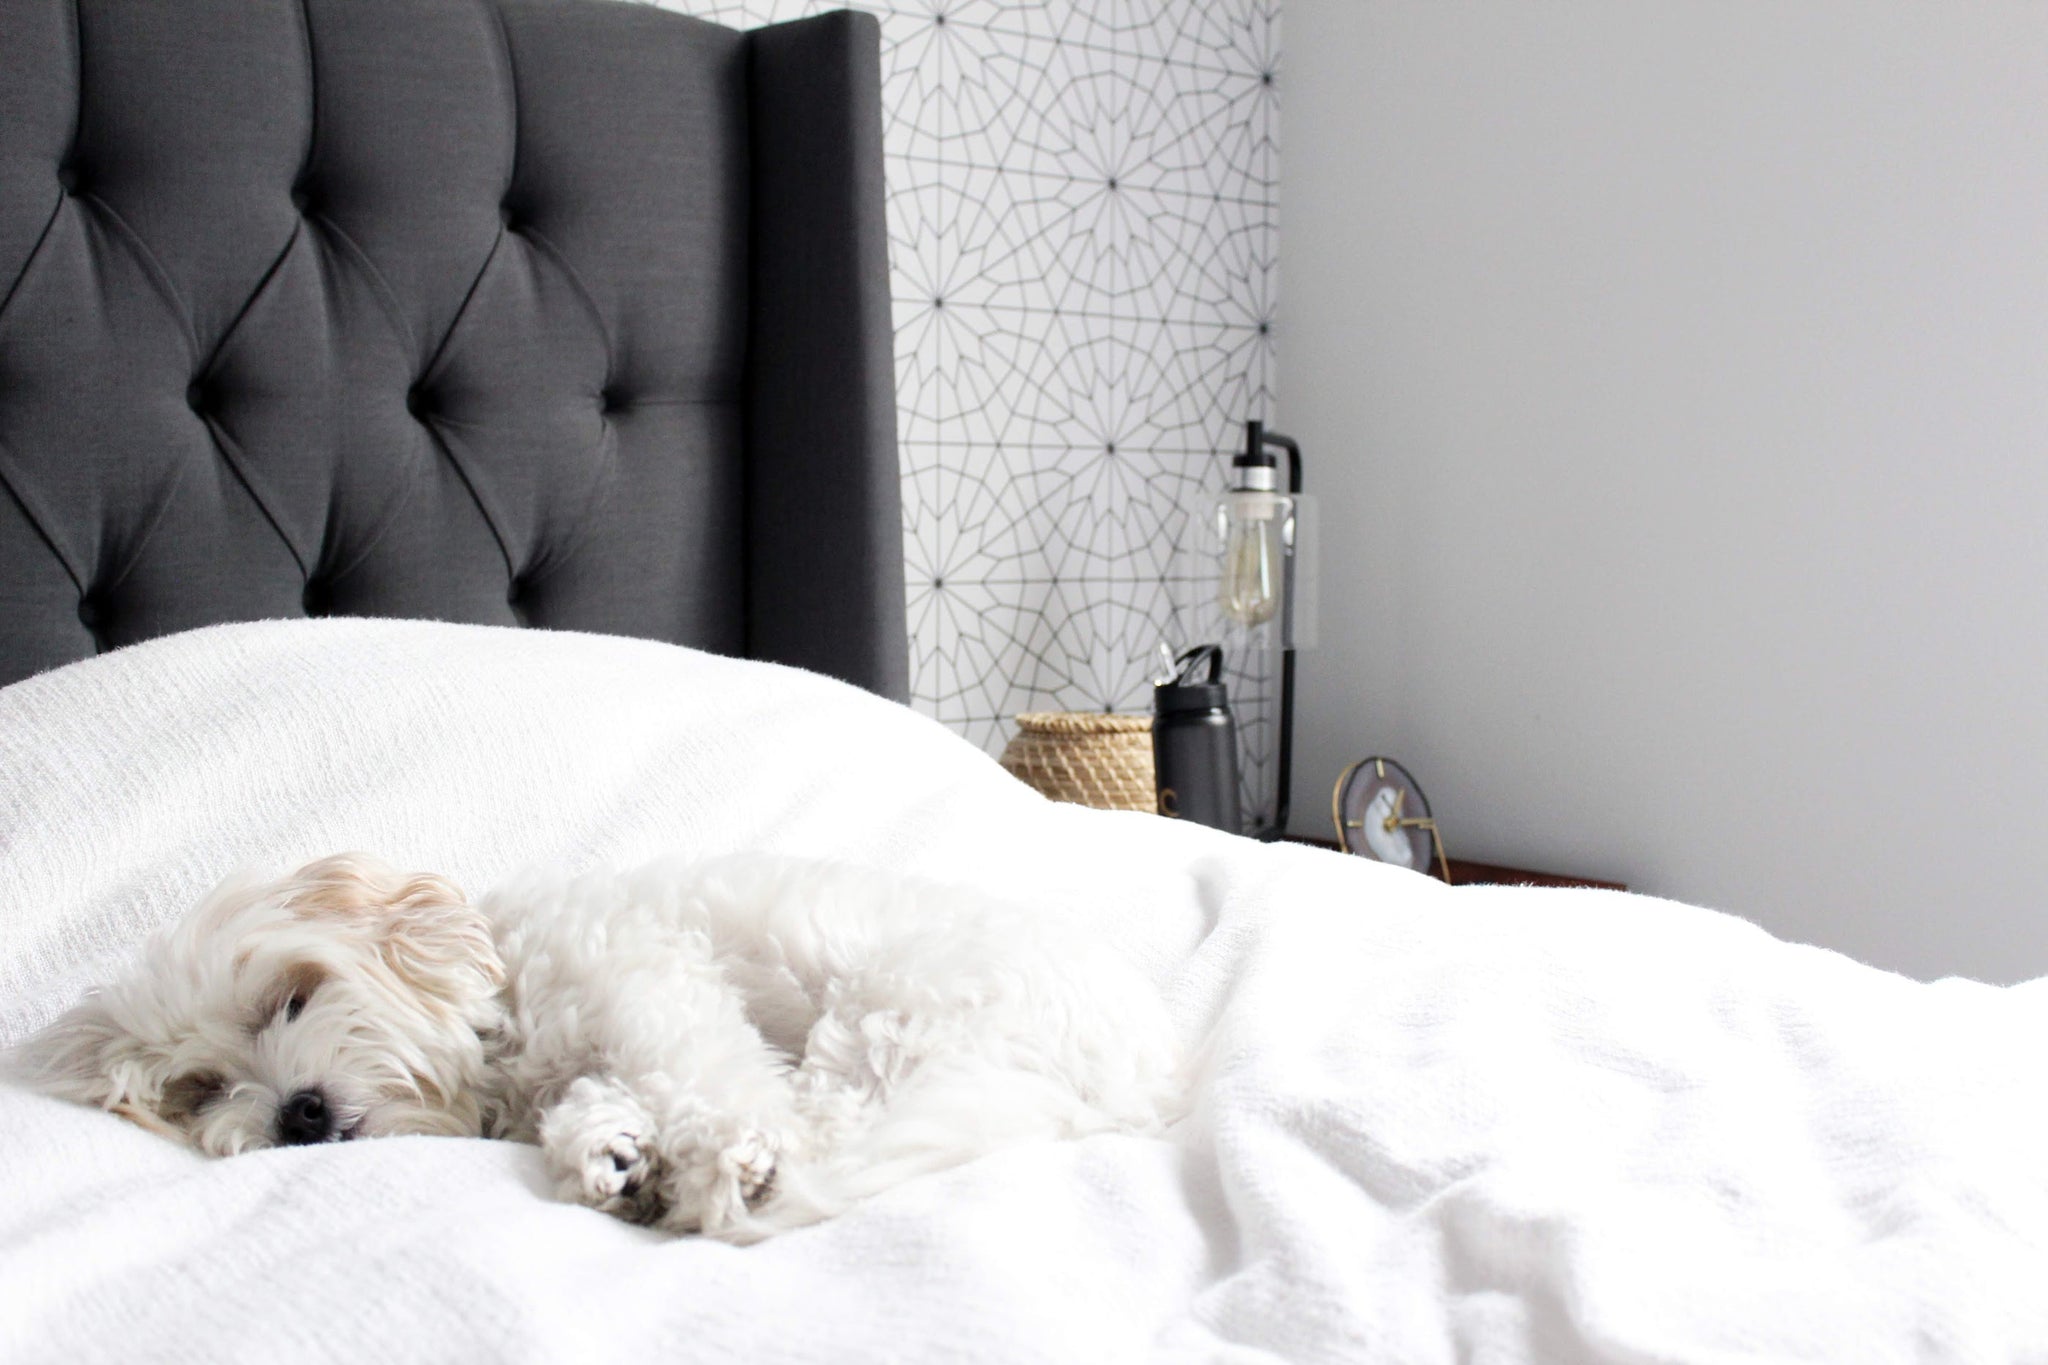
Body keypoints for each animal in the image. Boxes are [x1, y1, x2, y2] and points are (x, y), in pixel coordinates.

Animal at [12, 859, 1187, 1244]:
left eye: (289, 997)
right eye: (201, 1088)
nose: (295, 1113)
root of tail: (1141, 1078)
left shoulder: (651, 983)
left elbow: (703, 1076)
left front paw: (699, 1161)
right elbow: (605, 1105)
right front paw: (610, 1155)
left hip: (889, 1014)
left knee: (824, 1118)